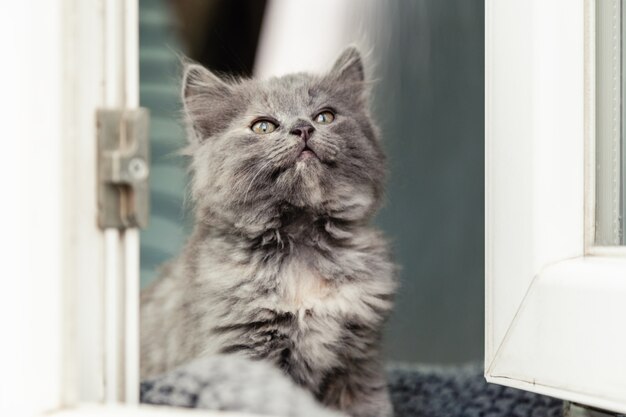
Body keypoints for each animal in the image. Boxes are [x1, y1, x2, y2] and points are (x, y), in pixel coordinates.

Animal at [141, 46, 394, 416]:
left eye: (325, 117)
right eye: (263, 126)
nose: (303, 128)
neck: (300, 242)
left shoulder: (359, 359)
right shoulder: (244, 356)